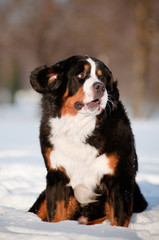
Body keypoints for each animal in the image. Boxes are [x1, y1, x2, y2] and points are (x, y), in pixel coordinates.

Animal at [28, 55, 147, 227]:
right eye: (80, 75)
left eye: (102, 78)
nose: (100, 87)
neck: (80, 128)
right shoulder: (57, 177)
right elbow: (56, 215)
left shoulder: (119, 178)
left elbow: (118, 218)